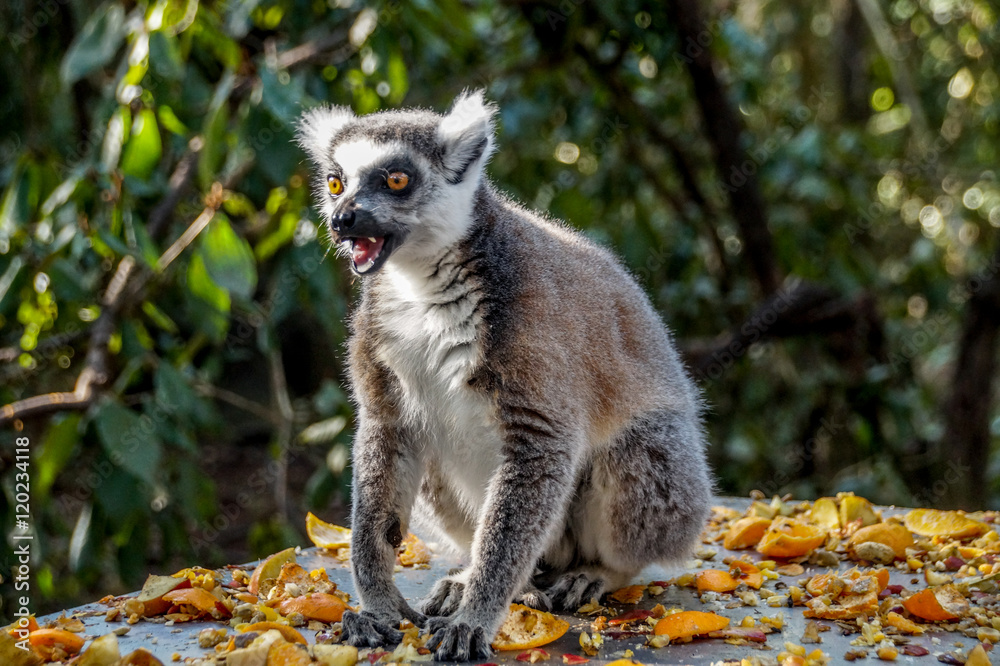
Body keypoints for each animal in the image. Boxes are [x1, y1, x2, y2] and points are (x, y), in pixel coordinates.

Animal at [296, 91, 712, 661]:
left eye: (396, 180)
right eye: (336, 182)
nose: (342, 219)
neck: (422, 286)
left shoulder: (533, 326)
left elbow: (541, 443)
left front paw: (475, 618)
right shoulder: (378, 337)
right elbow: (386, 437)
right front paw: (378, 608)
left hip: (668, 500)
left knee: (640, 456)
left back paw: (599, 571)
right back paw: (471, 574)